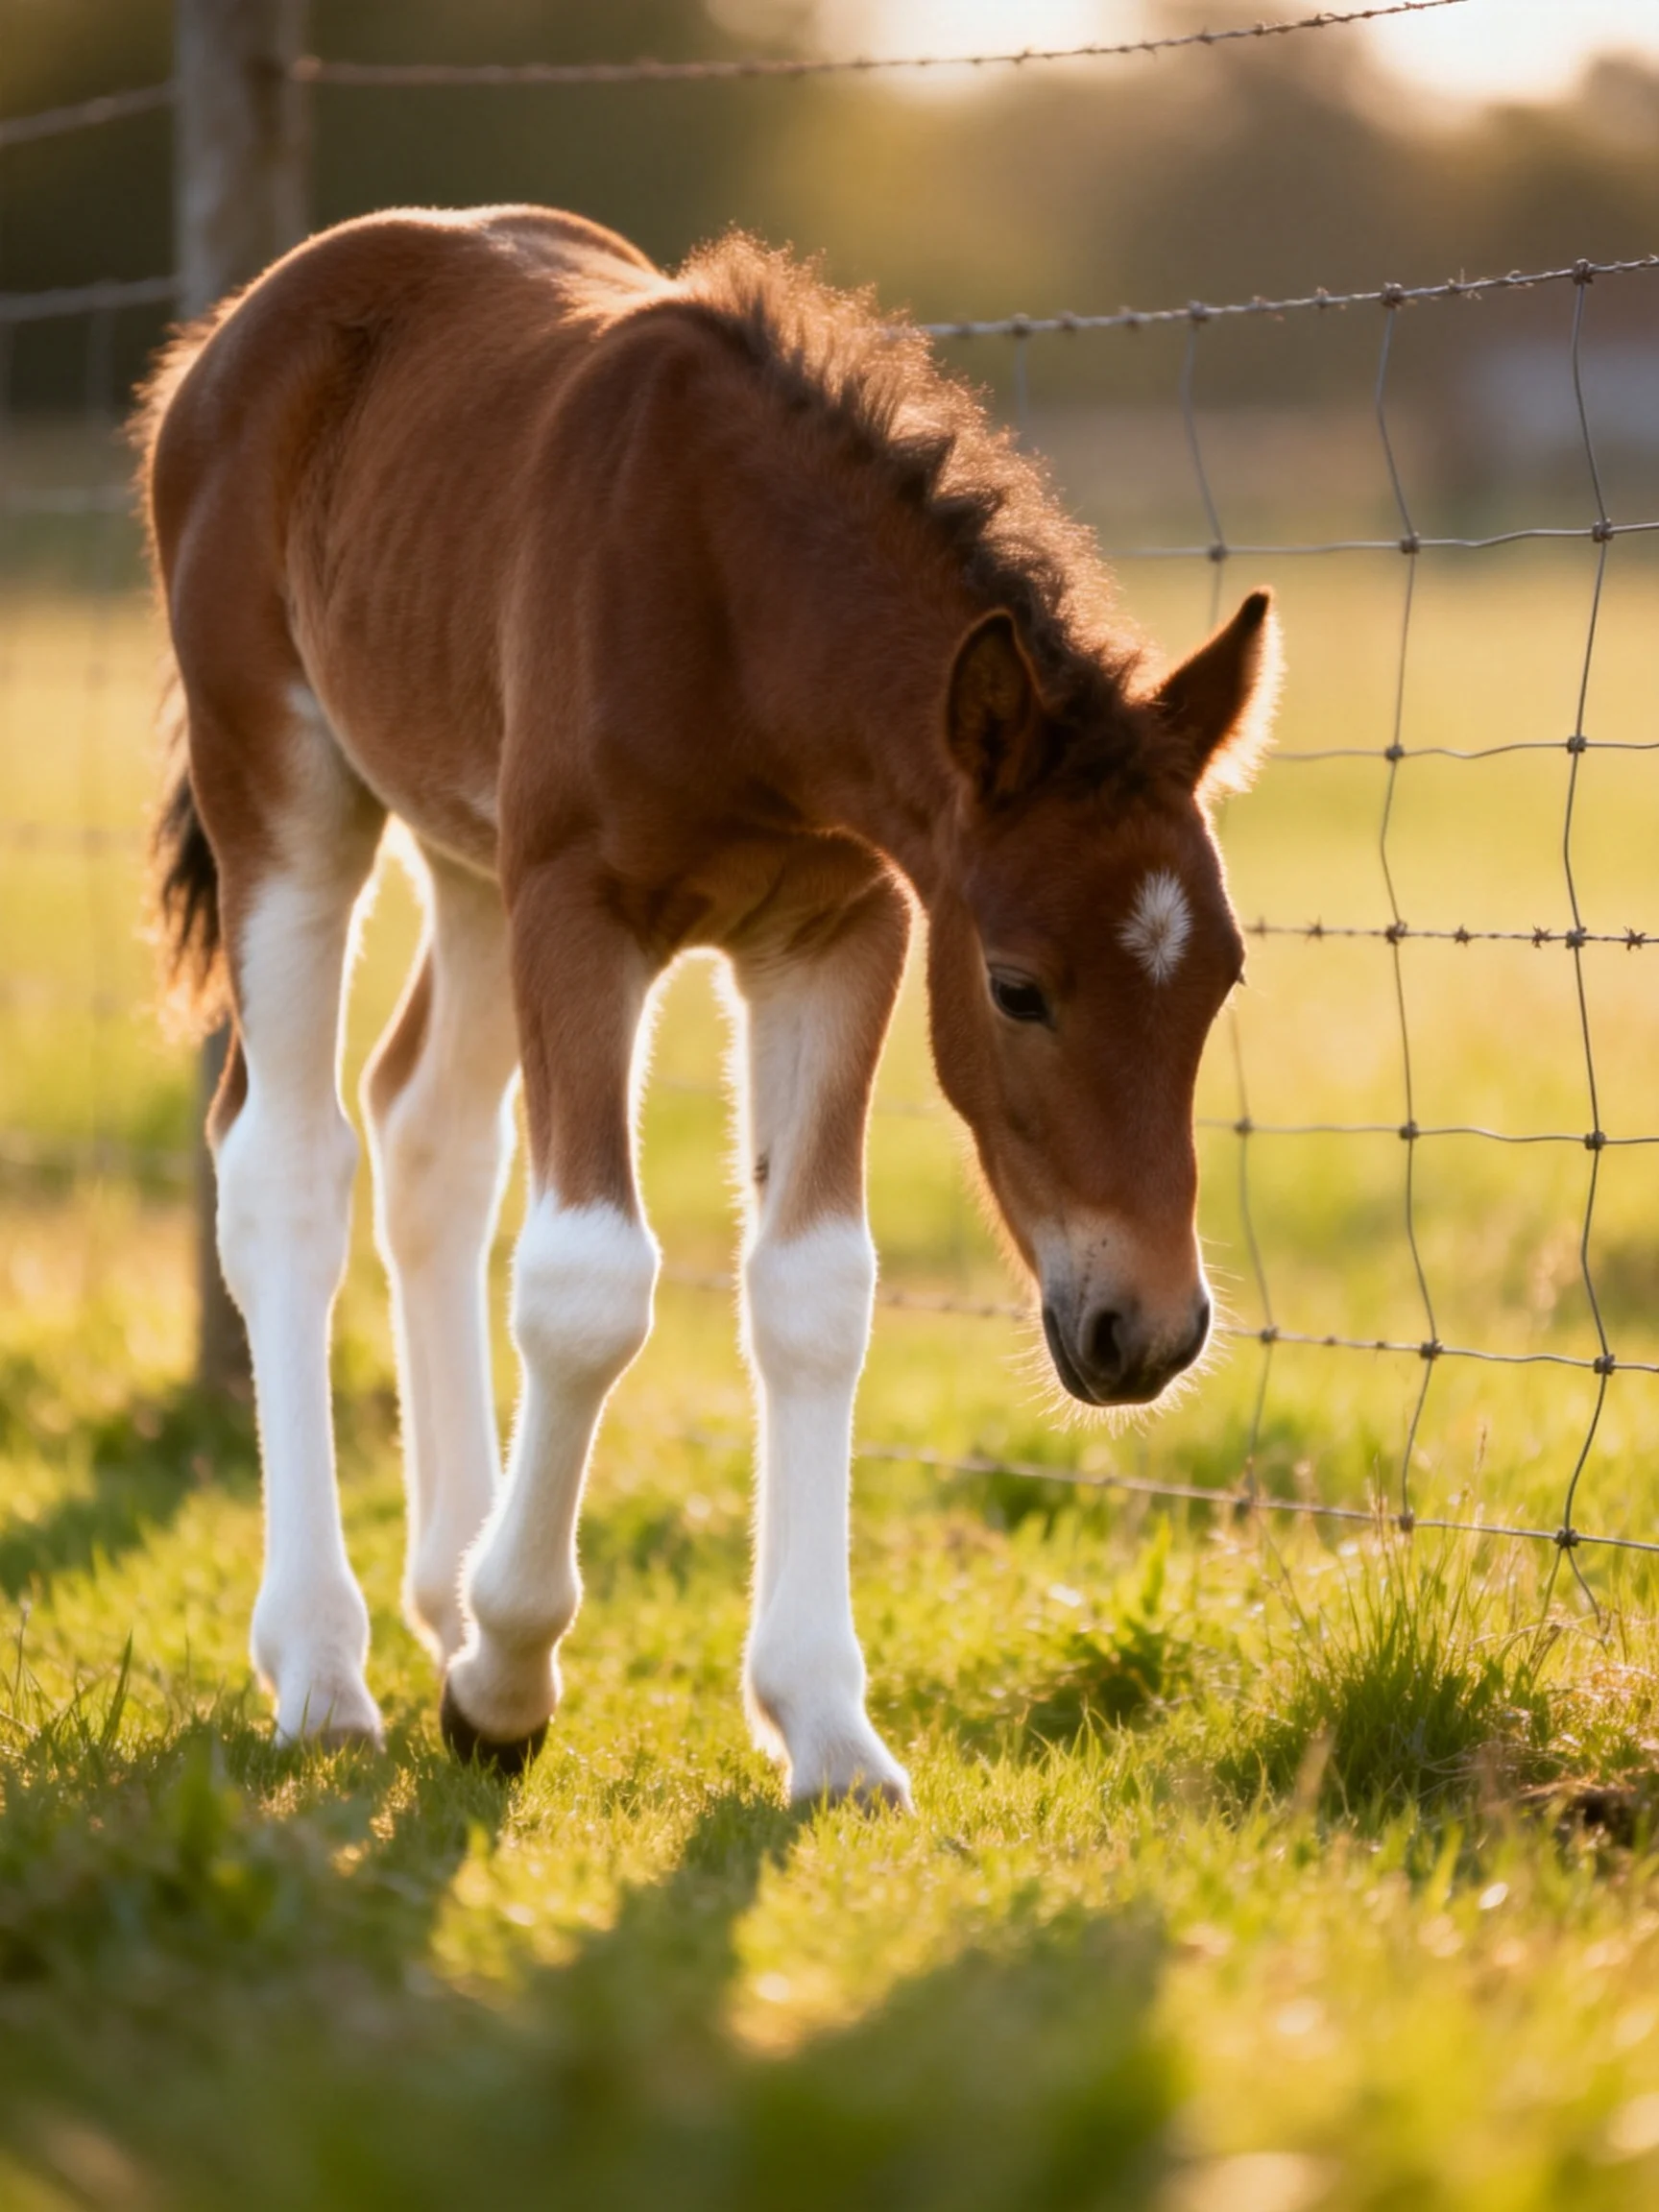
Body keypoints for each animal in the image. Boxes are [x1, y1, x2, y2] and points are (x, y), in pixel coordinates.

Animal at [137, 206, 1280, 1806]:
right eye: (1017, 987)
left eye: (1224, 975)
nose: (1150, 1330)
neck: (737, 606)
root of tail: (233, 330)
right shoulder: (581, 906)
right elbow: (586, 1284)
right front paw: (502, 1685)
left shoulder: (838, 928)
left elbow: (814, 1290)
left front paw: (827, 1726)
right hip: (286, 790)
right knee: (285, 1164)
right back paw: (324, 1664)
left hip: (467, 852)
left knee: (427, 1134)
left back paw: (442, 1586)